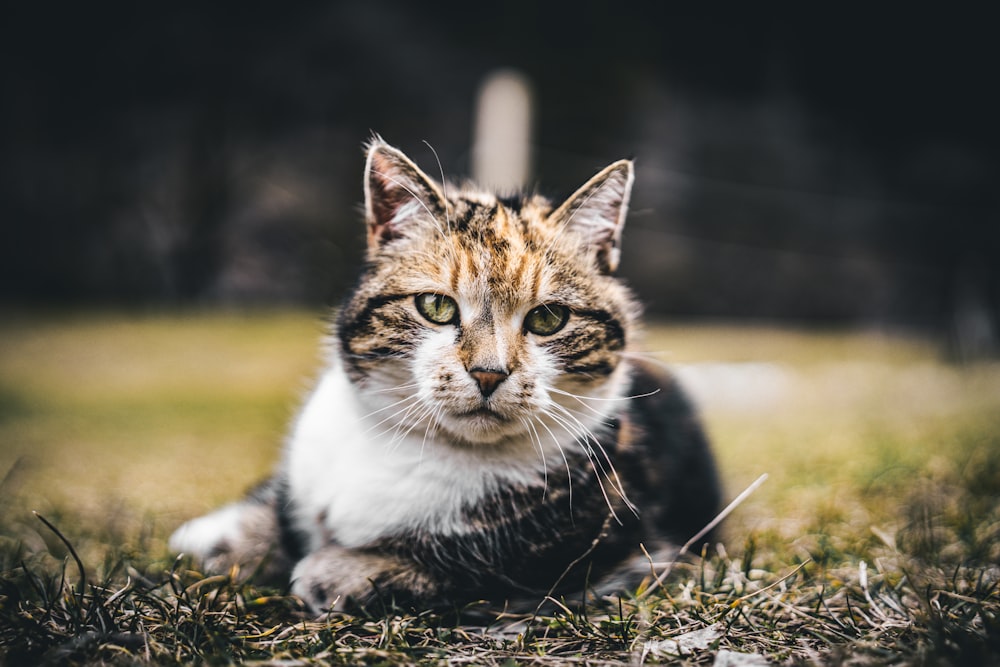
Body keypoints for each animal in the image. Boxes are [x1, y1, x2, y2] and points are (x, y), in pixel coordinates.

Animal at [168, 137, 724, 616]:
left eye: (548, 319)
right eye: (436, 306)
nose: (489, 372)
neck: (407, 447)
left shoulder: (617, 546)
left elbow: (474, 565)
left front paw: (341, 571)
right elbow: (283, 508)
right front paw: (224, 535)